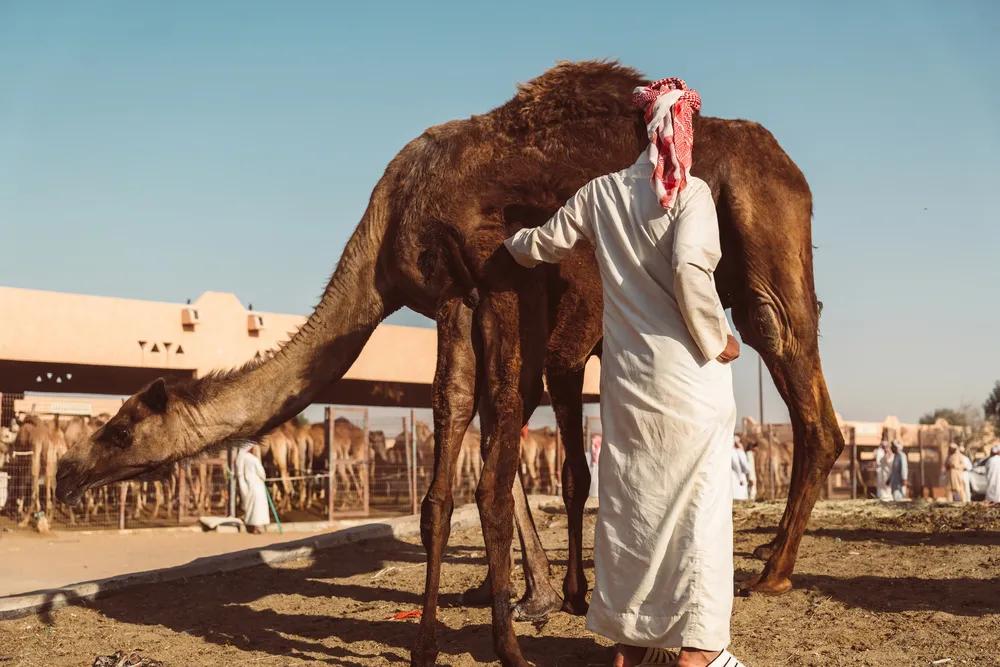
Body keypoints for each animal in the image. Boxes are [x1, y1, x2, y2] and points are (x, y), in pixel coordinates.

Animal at [58, 62, 840, 667]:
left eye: (120, 429)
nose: (67, 472)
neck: (387, 232)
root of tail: (792, 169)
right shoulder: (456, 305)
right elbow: (454, 482)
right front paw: (461, 626)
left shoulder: (501, 285)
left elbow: (500, 475)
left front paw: (519, 625)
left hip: (763, 251)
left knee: (795, 370)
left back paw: (769, 573)